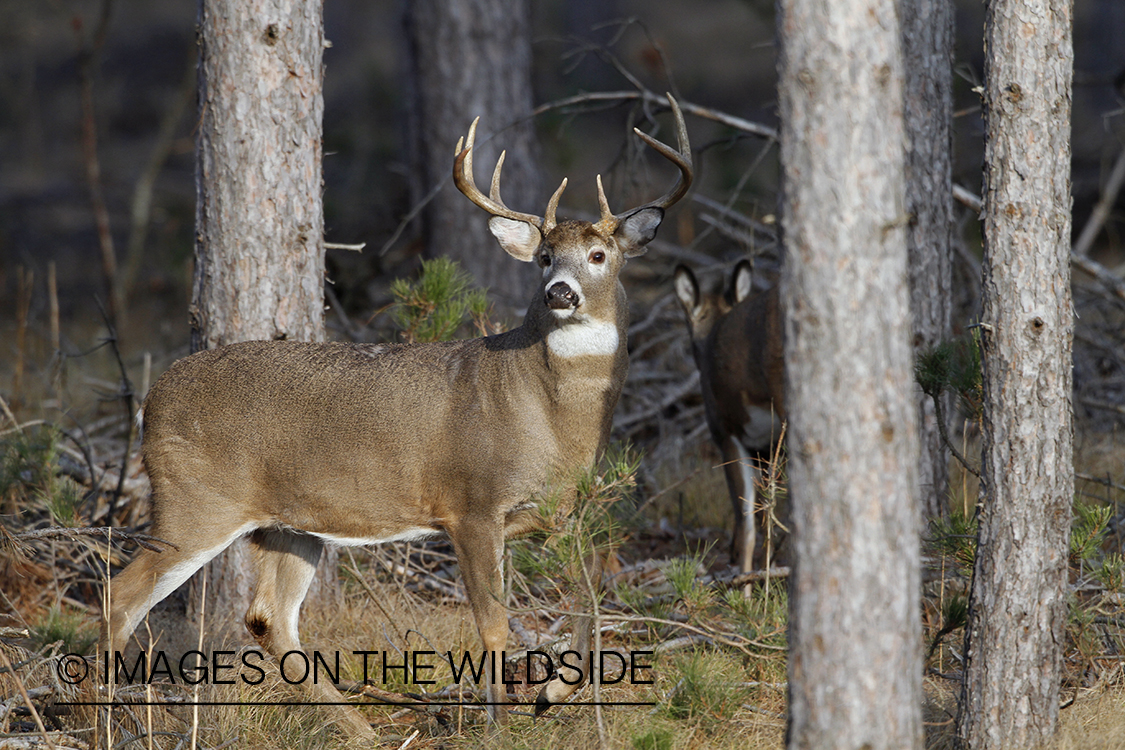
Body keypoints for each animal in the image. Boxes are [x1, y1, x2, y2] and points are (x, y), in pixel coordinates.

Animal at [101, 96, 688, 737]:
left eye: (599, 255)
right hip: (197, 500)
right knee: (121, 598)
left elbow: (590, 594)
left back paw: (360, 730)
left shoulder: (556, 511)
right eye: (543, 258)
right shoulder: (470, 502)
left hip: (287, 525)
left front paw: (551, 693)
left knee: (267, 618)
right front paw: (497, 725)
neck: (548, 416)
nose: (560, 292)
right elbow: (493, 624)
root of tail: (150, 402)